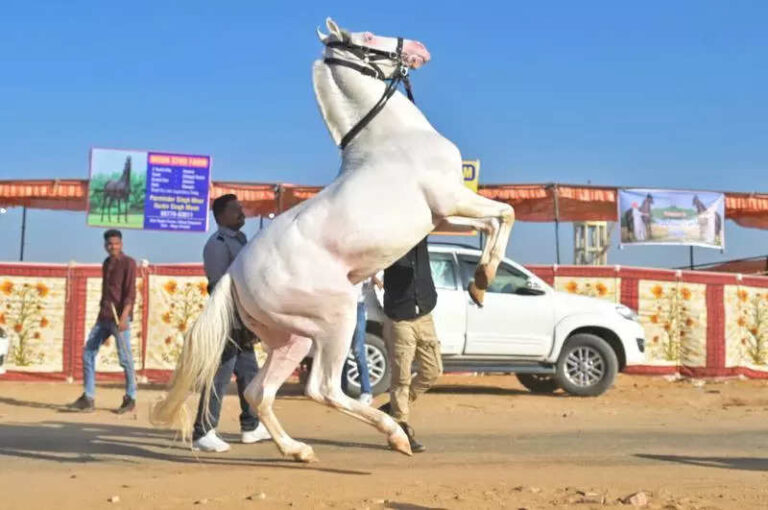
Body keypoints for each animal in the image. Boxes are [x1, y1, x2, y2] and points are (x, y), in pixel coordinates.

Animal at [151, 17, 515, 463]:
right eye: (370, 37)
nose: (418, 47)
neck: (391, 136)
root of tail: (234, 274)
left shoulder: (445, 213)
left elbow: (492, 224)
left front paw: (479, 285)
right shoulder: (449, 198)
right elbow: (506, 214)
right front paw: (482, 281)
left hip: (292, 339)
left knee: (259, 391)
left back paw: (298, 450)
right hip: (335, 319)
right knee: (322, 388)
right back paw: (395, 435)